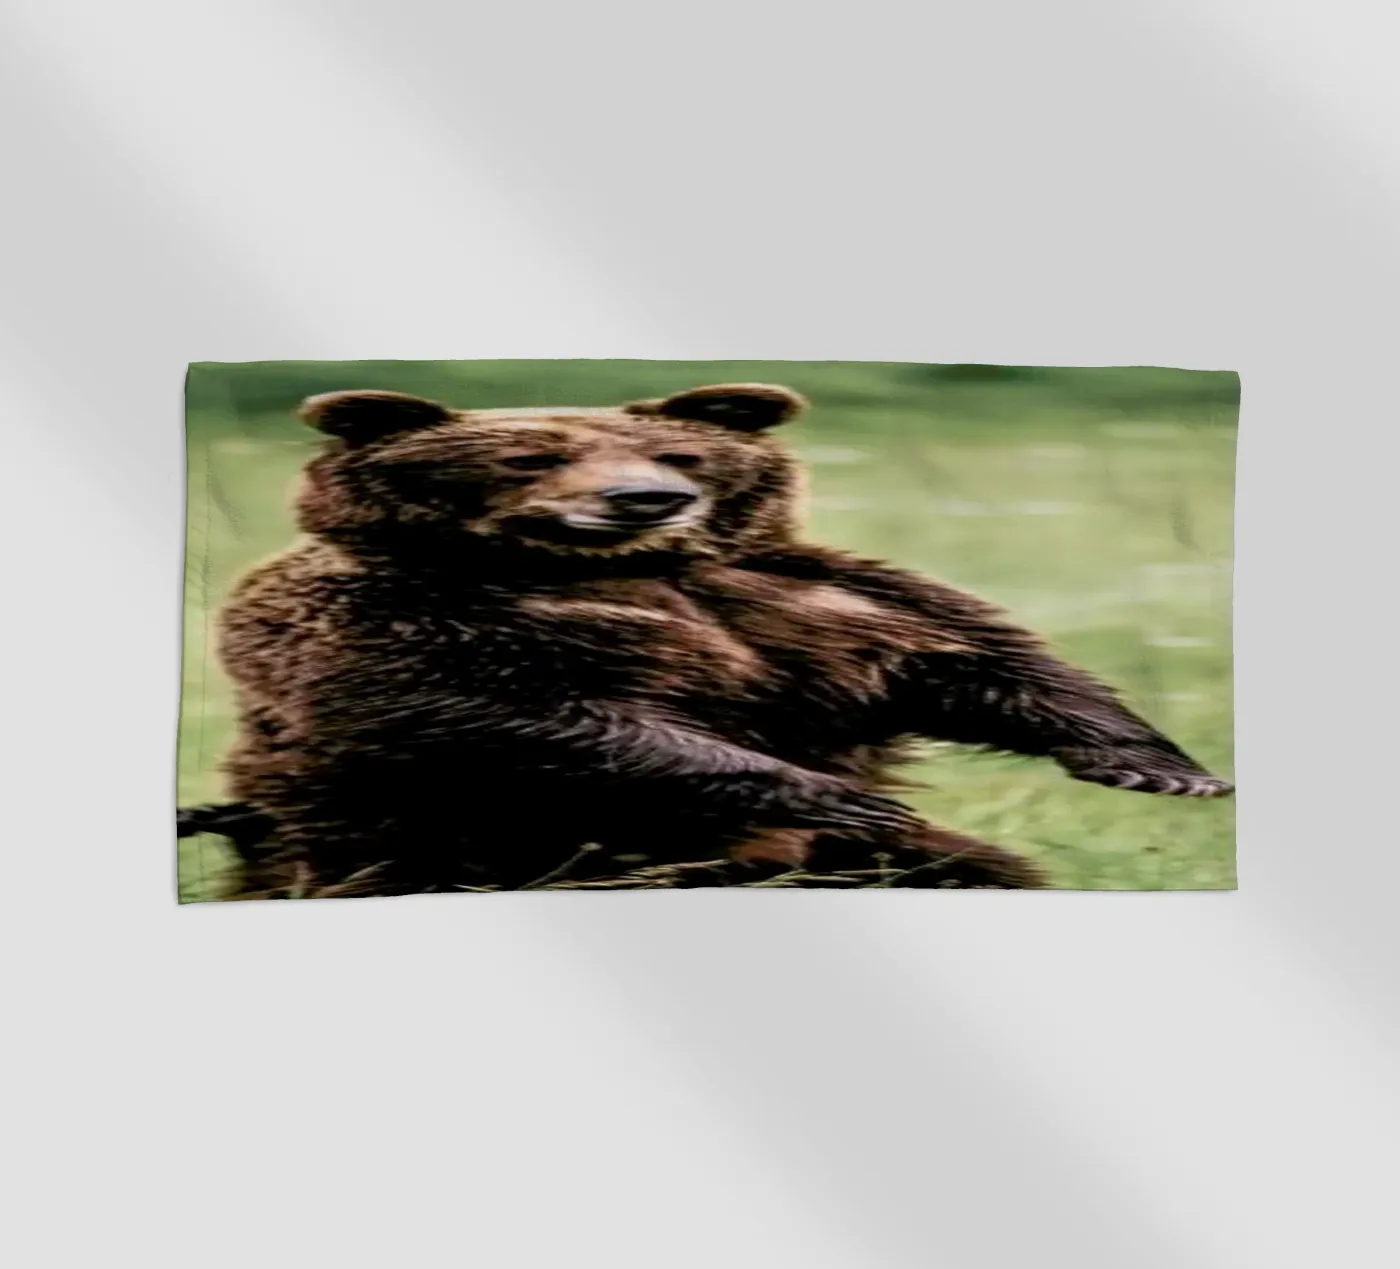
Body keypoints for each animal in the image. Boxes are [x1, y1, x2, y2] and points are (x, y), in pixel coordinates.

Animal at [199, 381, 1232, 898]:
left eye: (680, 452)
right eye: (532, 455)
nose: (646, 498)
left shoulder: (800, 593)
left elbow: (969, 658)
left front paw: (1160, 766)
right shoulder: (389, 617)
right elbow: (498, 713)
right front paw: (841, 793)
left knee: (975, 873)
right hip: (467, 852)